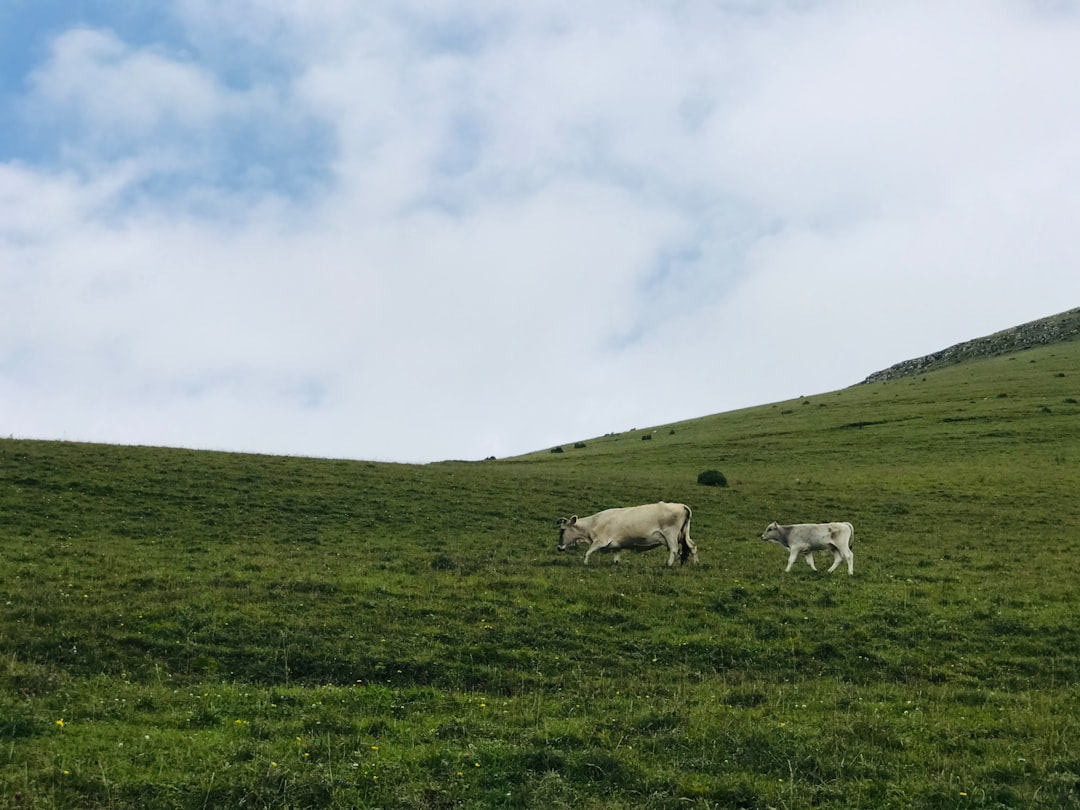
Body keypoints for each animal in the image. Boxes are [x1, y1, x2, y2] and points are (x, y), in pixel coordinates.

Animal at [557, 505, 699, 565]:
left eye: (562, 530)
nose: (559, 548)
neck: (593, 523)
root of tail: (682, 505)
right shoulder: (616, 545)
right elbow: (616, 558)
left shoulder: (601, 541)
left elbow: (588, 552)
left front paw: (585, 563)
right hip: (684, 535)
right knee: (692, 547)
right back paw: (696, 563)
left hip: (671, 535)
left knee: (674, 549)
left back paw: (668, 564)